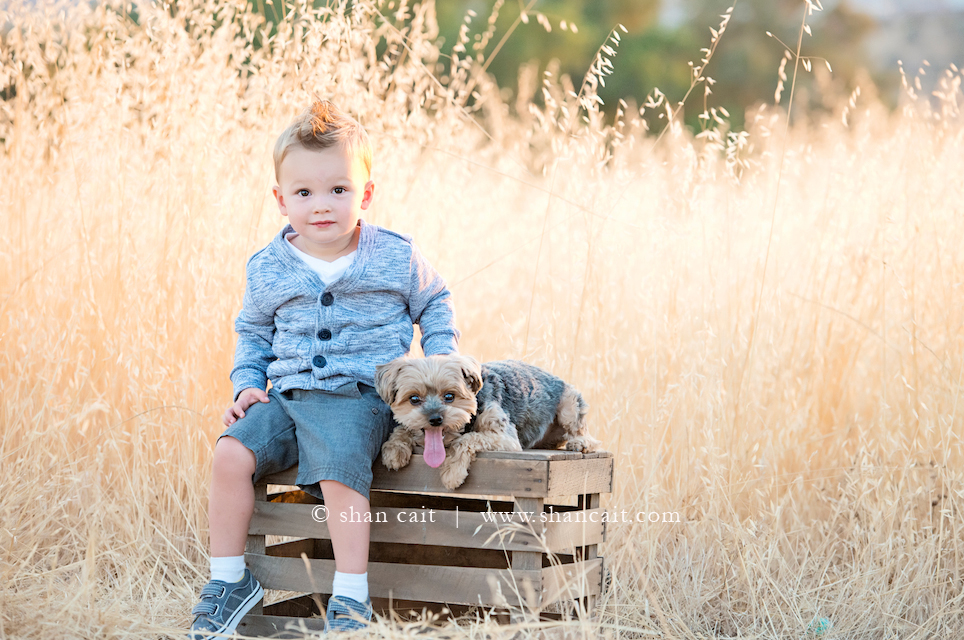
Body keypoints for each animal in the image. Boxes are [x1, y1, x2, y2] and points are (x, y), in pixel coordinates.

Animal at [372, 356, 600, 490]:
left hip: (569, 405)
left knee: (585, 433)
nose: (435, 419)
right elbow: (402, 430)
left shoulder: (507, 438)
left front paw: (452, 472)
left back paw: (580, 443)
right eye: (413, 399)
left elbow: (466, 440)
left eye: (449, 396)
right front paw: (395, 448)